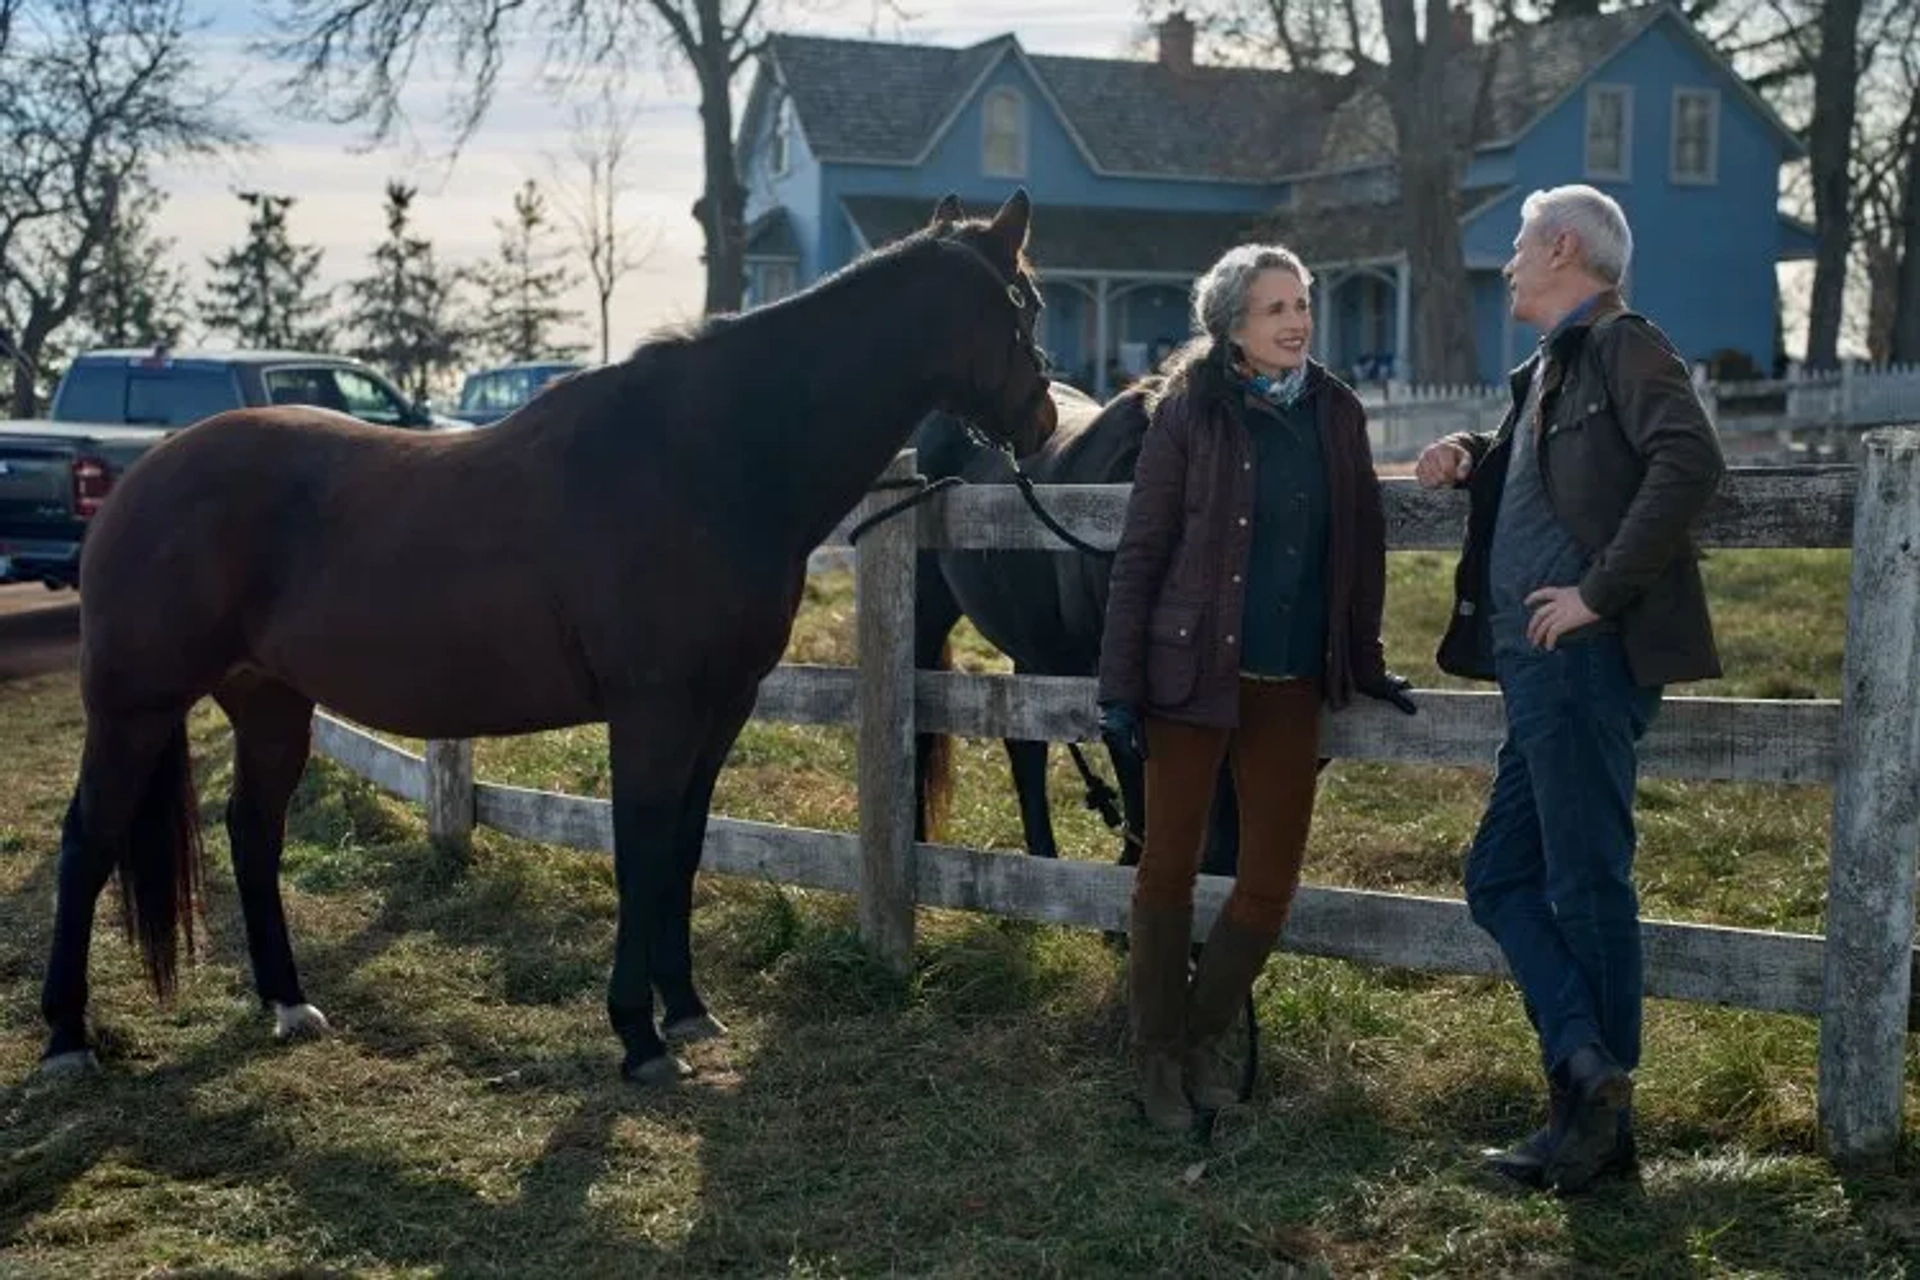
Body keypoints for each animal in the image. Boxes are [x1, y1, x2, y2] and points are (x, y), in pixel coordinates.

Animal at [37, 189, 1059, 1090]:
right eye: (1028, 301)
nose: (1046, 419)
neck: (709, 460)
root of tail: (141, 477)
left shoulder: (719, 710)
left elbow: (684, 848)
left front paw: (689, 1010)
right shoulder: (652, 711)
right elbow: (640, 851)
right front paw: (640, 1037)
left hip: (271, 704)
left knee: (252, 832)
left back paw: (288, 1004)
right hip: (134, 706)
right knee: (88, 840)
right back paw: (65, 1041)